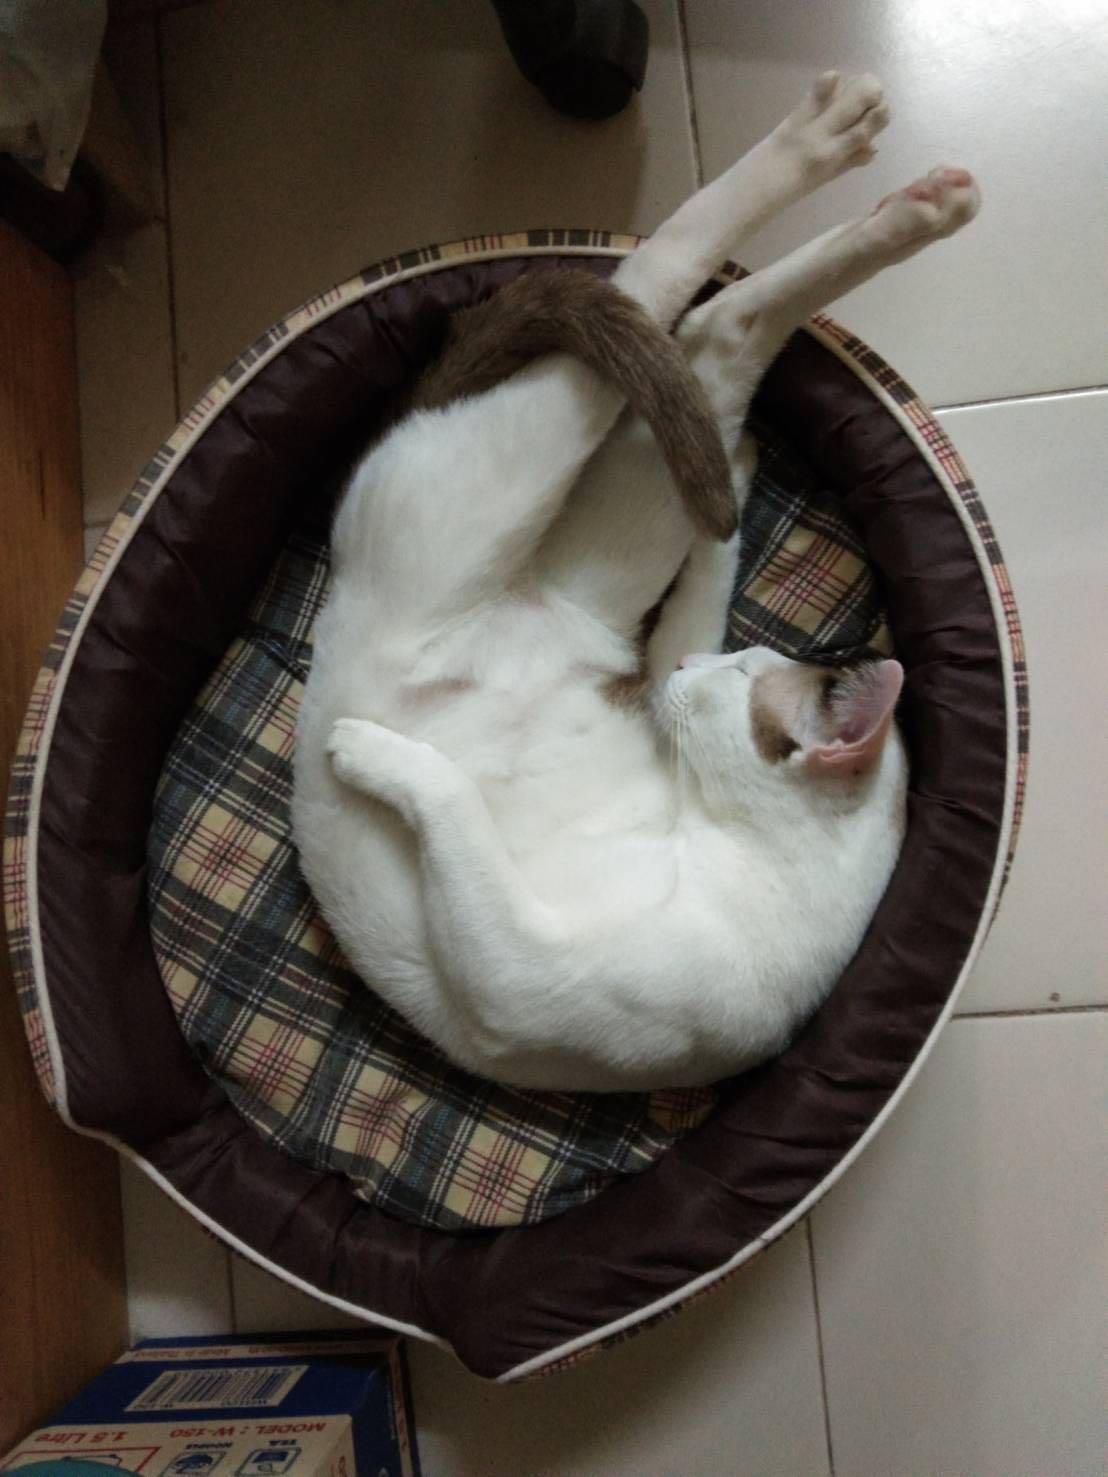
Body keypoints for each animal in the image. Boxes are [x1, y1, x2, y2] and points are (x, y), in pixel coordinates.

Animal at [291, 71, 980, 1092]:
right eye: (743, 659)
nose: (686, 675)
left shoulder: (512, 964)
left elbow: (448, 798)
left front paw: (367, 751)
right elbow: (714, 555)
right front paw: (742, 476)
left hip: (547, 469)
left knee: (679, 295)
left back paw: (882, 172)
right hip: (586, 476)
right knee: (695, 313)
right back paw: (884, 172)